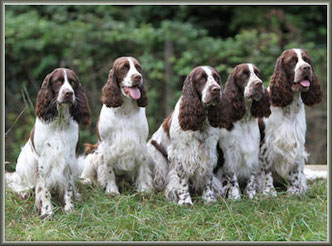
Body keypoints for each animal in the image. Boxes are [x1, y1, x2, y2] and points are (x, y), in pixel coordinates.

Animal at [5, 68, 91, 218]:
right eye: (58, 81)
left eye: (73, 82)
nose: (69, 93)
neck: (59, 123)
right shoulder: (43, 161)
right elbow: (44, 190)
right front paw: (47, 211)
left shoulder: (69, 159)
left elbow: (68, 188)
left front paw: (69, 208)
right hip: (24, 163)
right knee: (24, 184)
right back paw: (24, 193)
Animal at [258, 48, 322, 196]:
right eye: (292, 61)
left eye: (307, 60)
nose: (306, 68)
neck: (288, 107)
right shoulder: (266, 143)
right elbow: (267, 170)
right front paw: (269, 191)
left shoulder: (296, 142)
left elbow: (295, 169)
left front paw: (294, 191)